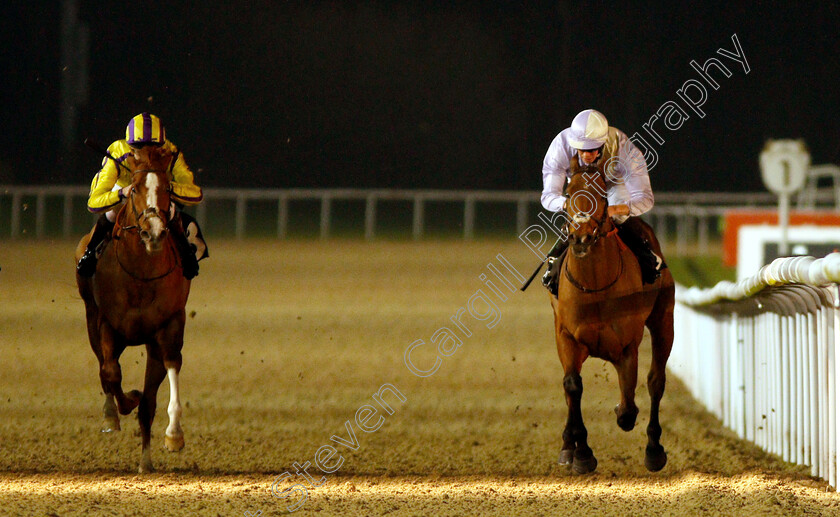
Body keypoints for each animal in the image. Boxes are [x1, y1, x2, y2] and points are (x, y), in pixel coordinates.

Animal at [76, 144, 190, 472]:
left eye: (167, 188)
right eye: (135, 188)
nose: (154, 232)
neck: (140, 273)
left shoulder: (168, 325)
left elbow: (171, 366)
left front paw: (174, 435)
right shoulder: (107, 324)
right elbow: (111, 372)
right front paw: (122, 405)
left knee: (149, 401)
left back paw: (146, 462)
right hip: (91, 318)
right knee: (104, 369)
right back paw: (111, 414)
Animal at [552, 155, 676, 474]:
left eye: (602, 196)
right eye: (568, 194)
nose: (581, 238)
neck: (595, 286)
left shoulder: (627, 344)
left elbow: (630, 401)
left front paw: (623, 416)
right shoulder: (567, 335)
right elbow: (571, 385)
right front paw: (580, 451)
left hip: (664, 322)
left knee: (656, 381)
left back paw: (654, 449)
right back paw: (567, 444)